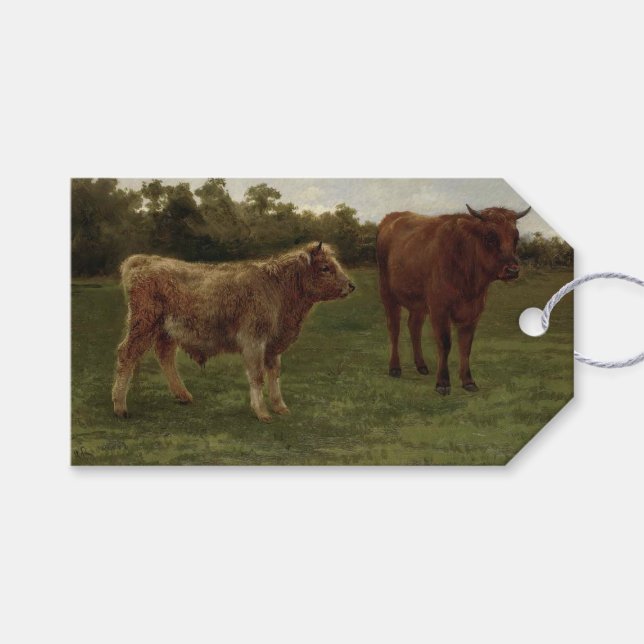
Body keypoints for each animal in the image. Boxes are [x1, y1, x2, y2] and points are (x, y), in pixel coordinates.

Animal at [111, 242, 355, 422]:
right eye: (325, 267)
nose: (351, 286)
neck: (276, 287)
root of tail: (145, 260)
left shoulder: (272, 346)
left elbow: (274, 374)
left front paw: (280, 407)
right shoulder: (254, 341)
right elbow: (257, 376)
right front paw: (262, 412)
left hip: (166, 331)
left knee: (165, 356)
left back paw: (183, 395)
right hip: (144, 324)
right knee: (127, 354)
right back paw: (120, 407)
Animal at [376, 205, 530, 395]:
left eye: (516, 238)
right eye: (490, 237)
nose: (512, 270)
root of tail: (393, 217)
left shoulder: (473, 313)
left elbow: (465, 347)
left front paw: (468, 381)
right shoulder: (439, 310)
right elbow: (444, 343)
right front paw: (443, 383)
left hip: (418, 303)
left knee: (414, 327)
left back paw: (421, 366)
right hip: (388, 294)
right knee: (394, 329)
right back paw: (395, 368)